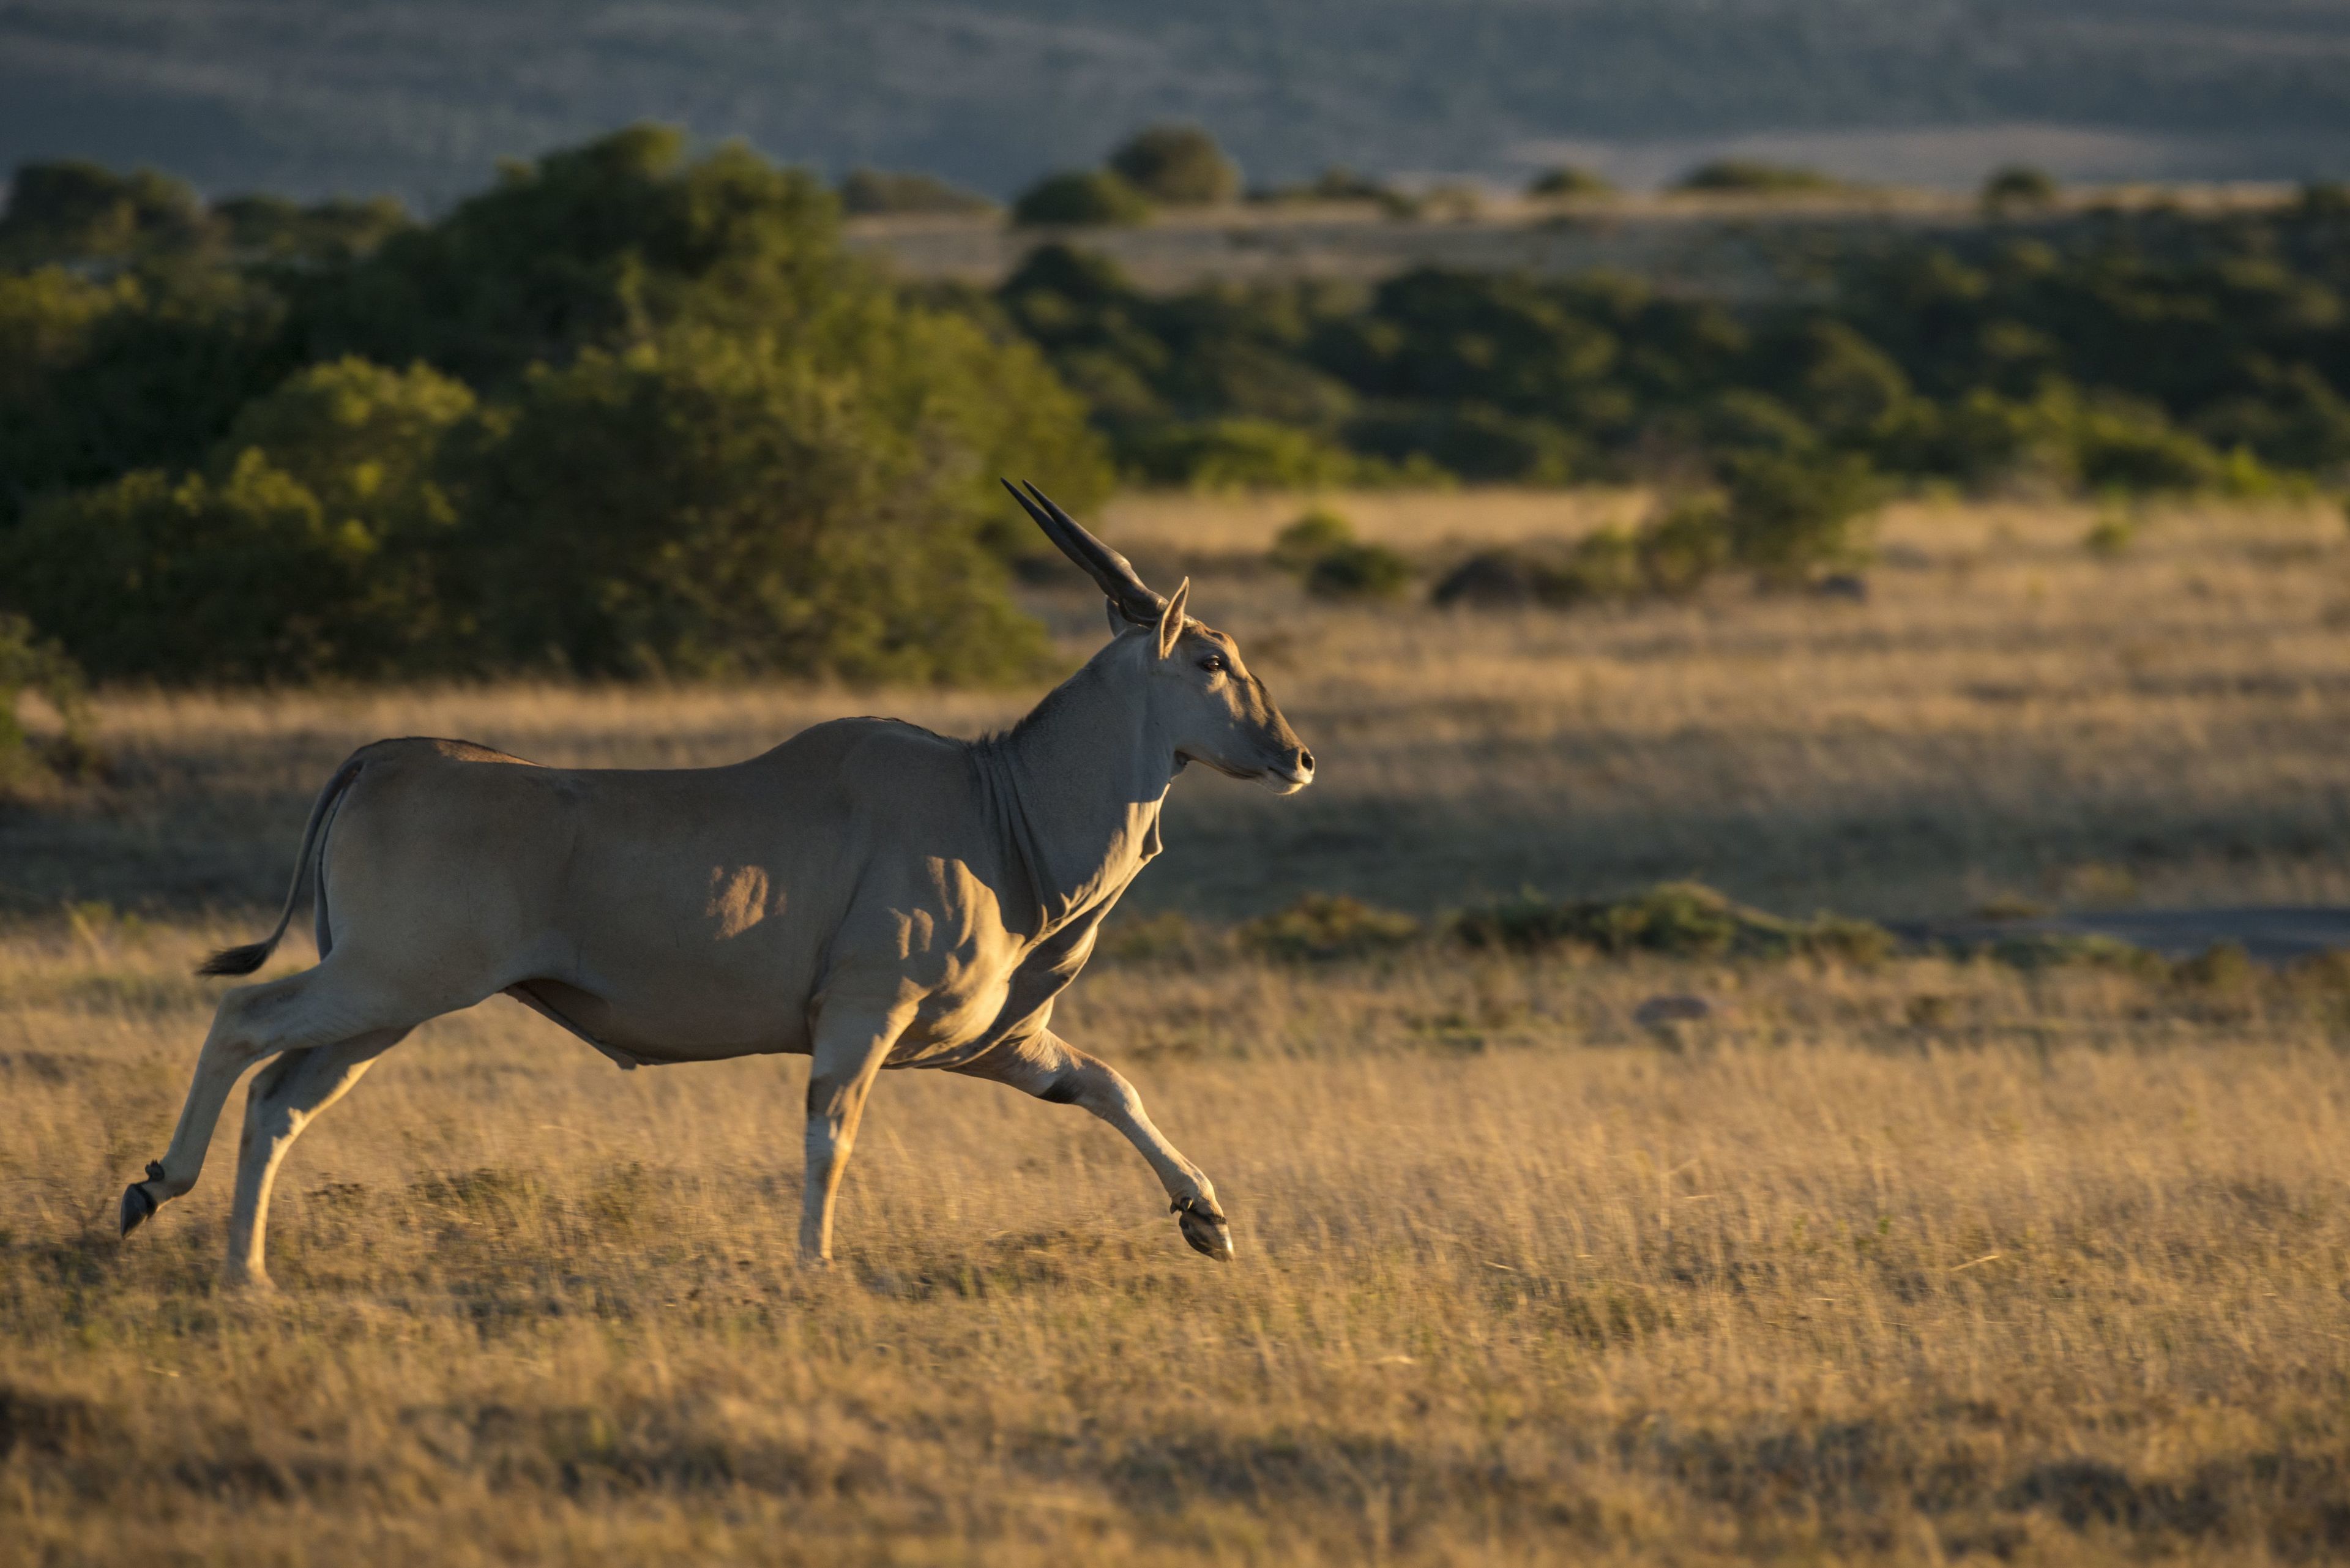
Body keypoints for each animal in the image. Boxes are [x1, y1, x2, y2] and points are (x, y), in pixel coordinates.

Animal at [116, 483, 1314, 1288]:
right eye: (1211, 662)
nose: (1298, 757)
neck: (999, 803)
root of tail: (384, 755)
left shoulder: (991, 1042)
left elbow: (1111, 1085)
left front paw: (1208, 1218)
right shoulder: (866, 1019)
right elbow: (833, 1135)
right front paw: (814, 1269)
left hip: (387, 1009)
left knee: (282, 1097)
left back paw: (246, 1274)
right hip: (390, 982)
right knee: (243, 1018)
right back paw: (155, 1186)